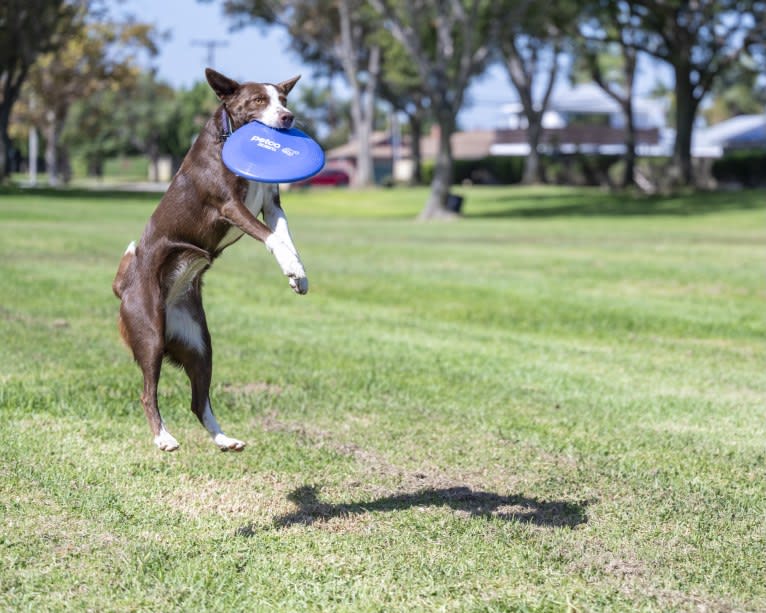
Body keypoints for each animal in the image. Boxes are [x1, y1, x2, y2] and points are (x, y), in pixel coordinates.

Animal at [112, 69, 308, 452]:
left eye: (284, 100)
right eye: (259, 101)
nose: (288, 118)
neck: (227, 134)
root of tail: (123, 288)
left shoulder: (273, 205)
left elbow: (285, 238)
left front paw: (298, 273)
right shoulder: (231, 207)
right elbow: (273, 238)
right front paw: (293, 269)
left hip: (200, 345)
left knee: (198, 401)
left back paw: (224, 440)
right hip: (149, 333)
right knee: (147, 392)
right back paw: (163, 438)